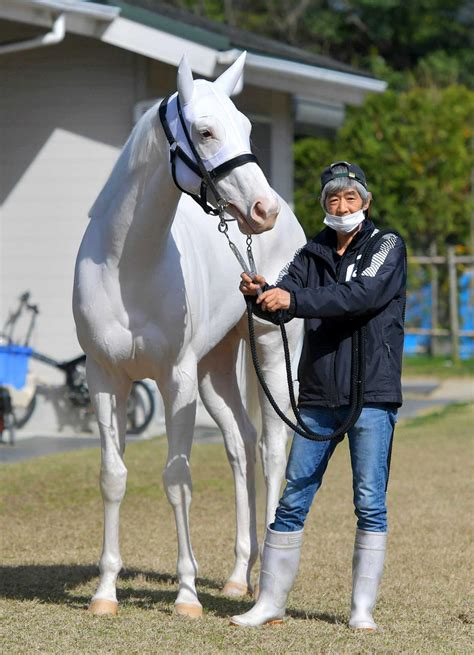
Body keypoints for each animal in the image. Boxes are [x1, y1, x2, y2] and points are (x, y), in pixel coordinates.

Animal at [72, 52, 306, 620]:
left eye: (247, 127)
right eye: (205, 131)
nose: (262, 210)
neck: (129, 267)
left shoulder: (174, 381)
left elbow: (177, 480)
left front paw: (186, 595)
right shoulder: (105, 377)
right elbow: (113, 477)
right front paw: (105, 591)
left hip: (270, 350)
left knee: (271, 447)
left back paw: (267, 579)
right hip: (214, 372)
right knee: (240, 445)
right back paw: (239, 577)